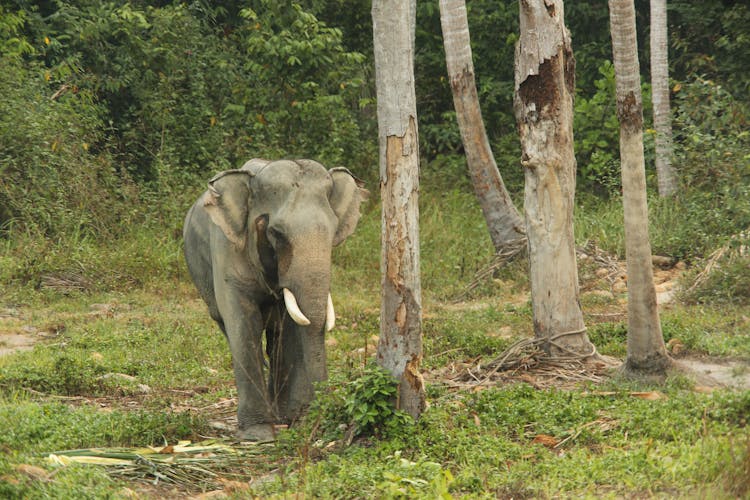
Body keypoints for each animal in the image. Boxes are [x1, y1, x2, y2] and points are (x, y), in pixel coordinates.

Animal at [184, 159, 368, 442]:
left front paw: (294, 420)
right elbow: (243, 322)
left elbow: (291, 326)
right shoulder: (227, 249)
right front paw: (257, 434)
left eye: (334, 230)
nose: (321, 418)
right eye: (277, 233)